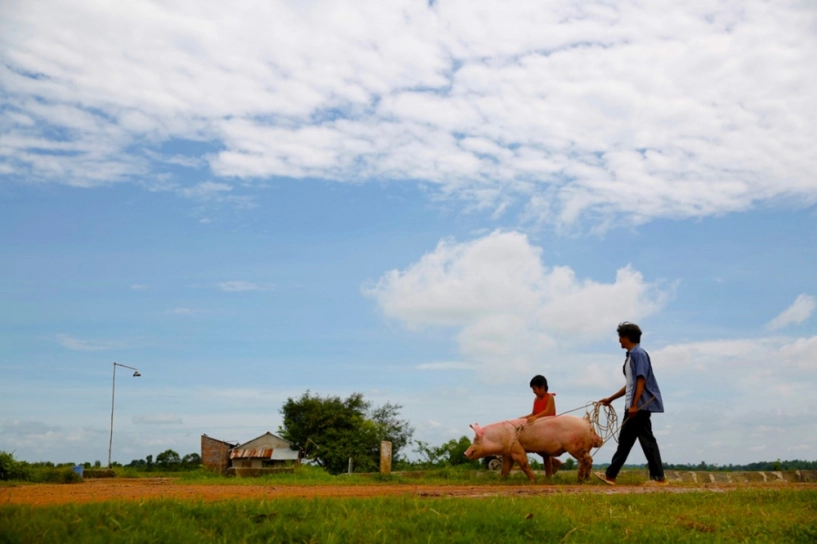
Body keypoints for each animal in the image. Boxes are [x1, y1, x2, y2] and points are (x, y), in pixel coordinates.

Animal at [462, 414, 604, 482]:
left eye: (475, 439)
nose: (465, 453)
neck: (499, 437)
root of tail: (587, 422)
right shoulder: (507, 452)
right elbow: (505, 469)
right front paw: (500, 480)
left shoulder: (516, 448)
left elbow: (524, 463)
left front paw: (532, 480)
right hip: (582, 449)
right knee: (585, 462)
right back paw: (582, 479)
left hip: (575, 447)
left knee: (587, 461)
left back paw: (584, 480)